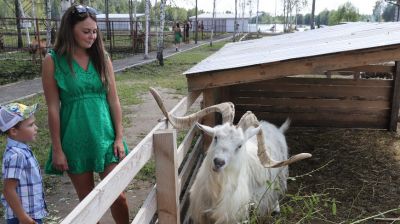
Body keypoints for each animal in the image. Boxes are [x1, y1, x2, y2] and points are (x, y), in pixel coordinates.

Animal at [148, 88, 310, 224]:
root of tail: (277, 129)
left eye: (239, 145)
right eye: (216, 137)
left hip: (279, 179)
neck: (217, 193)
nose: (218, 162)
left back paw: (275, 209)